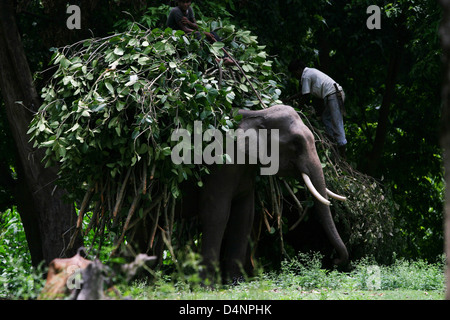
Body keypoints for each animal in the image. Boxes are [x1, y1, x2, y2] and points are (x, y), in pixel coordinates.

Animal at [196, 104, 348, 282]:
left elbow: (244, 215)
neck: (257, 114)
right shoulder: (218, 165)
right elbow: (216, 214)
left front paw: (237, 282)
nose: (335, 261)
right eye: (296, 143)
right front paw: (207, 285)